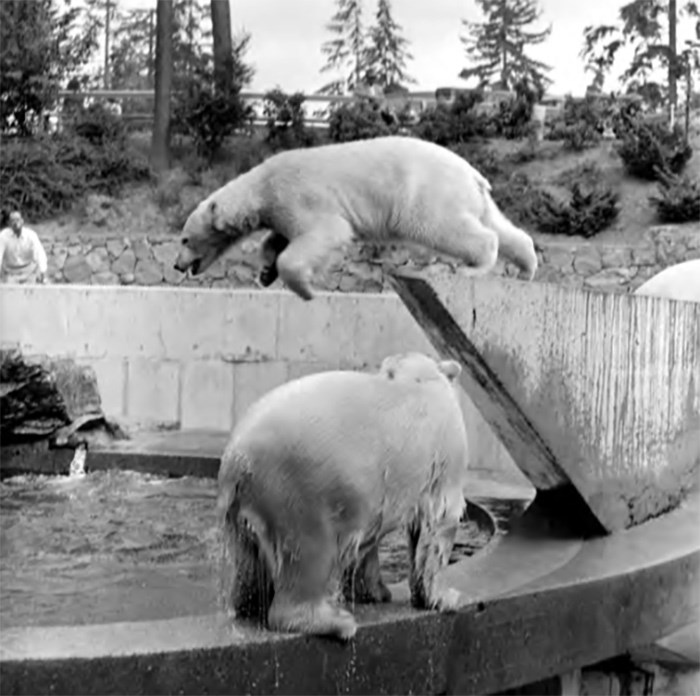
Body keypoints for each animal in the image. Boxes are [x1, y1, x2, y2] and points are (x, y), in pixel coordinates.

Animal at [172, 135, 540, 300]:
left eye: (185, 239)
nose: (176, 265)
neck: (262, 185)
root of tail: (473, 175)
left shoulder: (299, 196)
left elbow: (327, 233)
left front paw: (304, 289)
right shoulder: (280, 211)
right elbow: (278, 238)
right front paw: (265, 271)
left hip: (426, 195)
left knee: (449, 228)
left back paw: (472, 267)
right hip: (472, 198)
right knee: (500, 226)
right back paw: (527, 266)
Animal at [217, 354, 470, 640]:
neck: (415, 378)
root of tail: (237, 458)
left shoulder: (375, 494)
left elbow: (368, 544)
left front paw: (375, 592)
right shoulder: (444, 458)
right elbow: (440, 523)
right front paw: (445, 598)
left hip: (245, 508)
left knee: (247, 563)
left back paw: (247, 606)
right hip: (298, 492)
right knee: (309, 553)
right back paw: (337, 621)